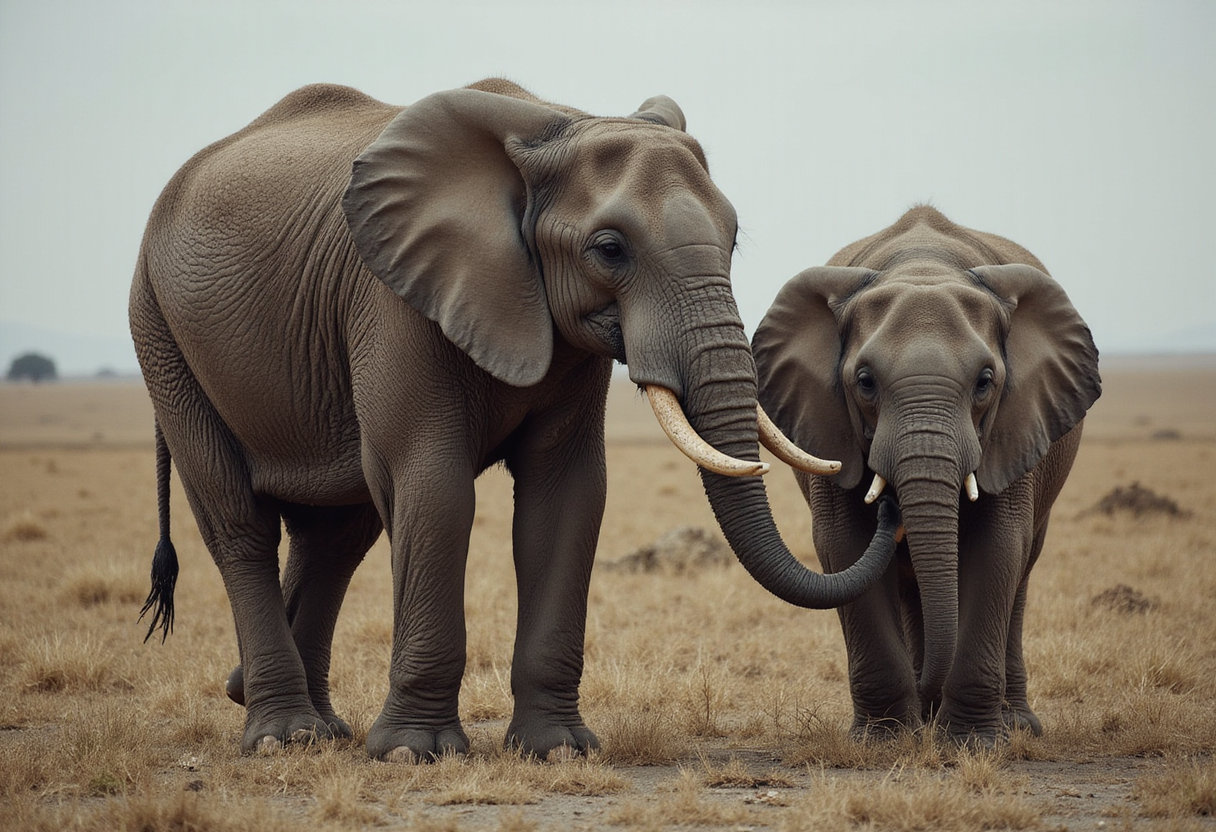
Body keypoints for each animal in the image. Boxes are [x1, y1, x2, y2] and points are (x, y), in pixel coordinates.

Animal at [129, 78, 901, 762]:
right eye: (609, 249)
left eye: (734, 240)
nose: (883, 494)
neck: (554, 124)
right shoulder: (393, 301)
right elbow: (435, 488)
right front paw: (413, 754)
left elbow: (567, 496)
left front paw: (557, 751)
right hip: (161, 329)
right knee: (240, 524)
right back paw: (284, 738)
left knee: (335, 536)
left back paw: (313, 726)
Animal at [752, 206, 1101, 744]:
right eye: (865, 382)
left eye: (985, 382)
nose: (890, 507)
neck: (923, 267)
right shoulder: (829, 426)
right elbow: (843, 543)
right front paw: (883, 740)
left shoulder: (1010, 427)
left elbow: (999, 545)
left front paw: (973, 743)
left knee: (1022, 570)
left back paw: (1012, 725)